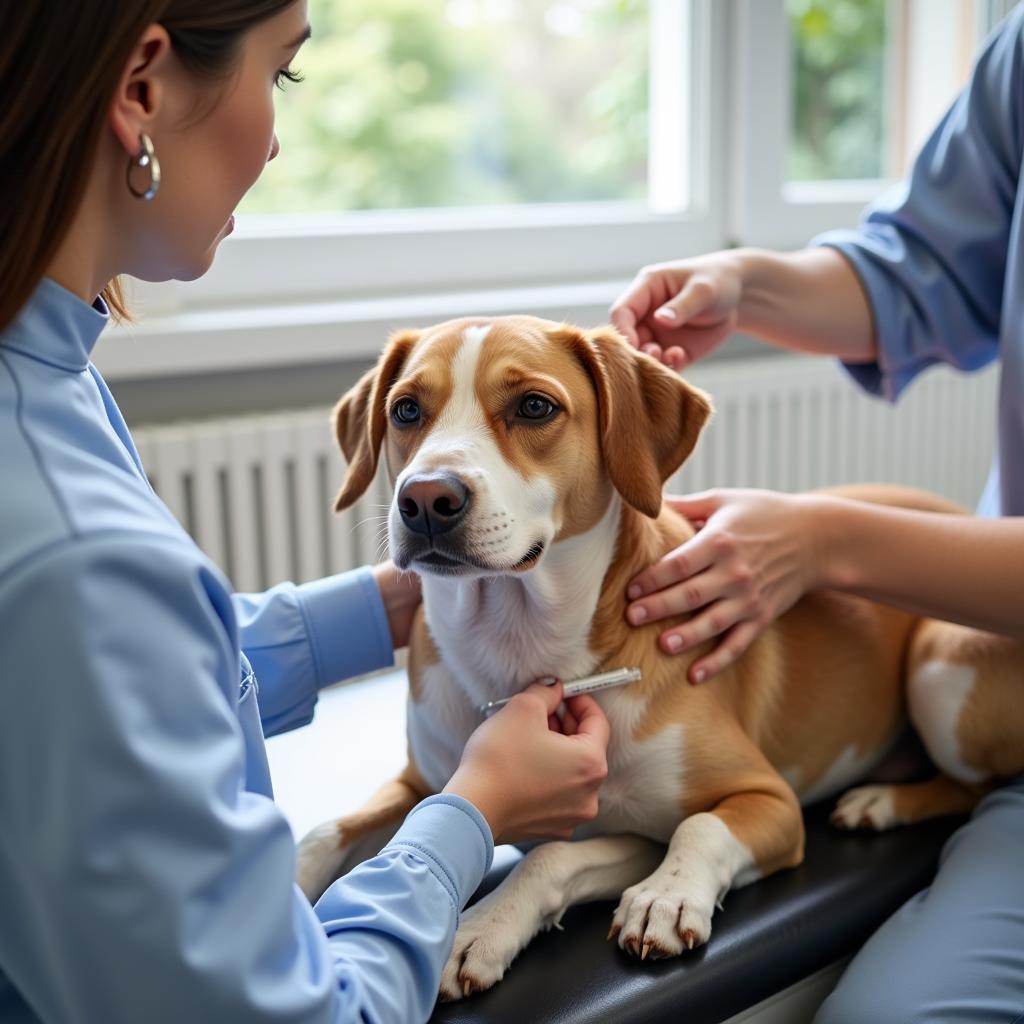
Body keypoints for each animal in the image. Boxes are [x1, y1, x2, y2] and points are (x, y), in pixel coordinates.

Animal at [296, 317, 1024, 999]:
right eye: (405, 411)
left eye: (534, 406)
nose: (425, 500)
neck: (518, 646)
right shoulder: (431, 786)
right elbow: (337, 832)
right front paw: (478, 925)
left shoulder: (771, 802)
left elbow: (688, 829)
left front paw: (662, 897)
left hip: (936, 663)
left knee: (977, 785)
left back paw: (881, 802)